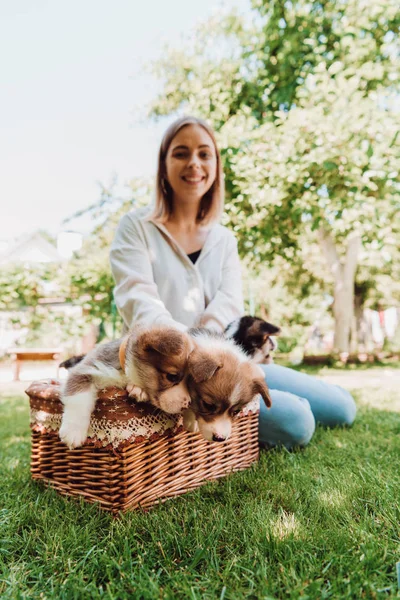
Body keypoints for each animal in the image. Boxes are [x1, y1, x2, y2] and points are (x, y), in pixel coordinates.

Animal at [59, 326, 194, 448]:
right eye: (172, 377)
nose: (188, 404)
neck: (123, 372)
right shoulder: (84, 370)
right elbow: (78, 399)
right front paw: (73, 431)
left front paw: (138, 390)